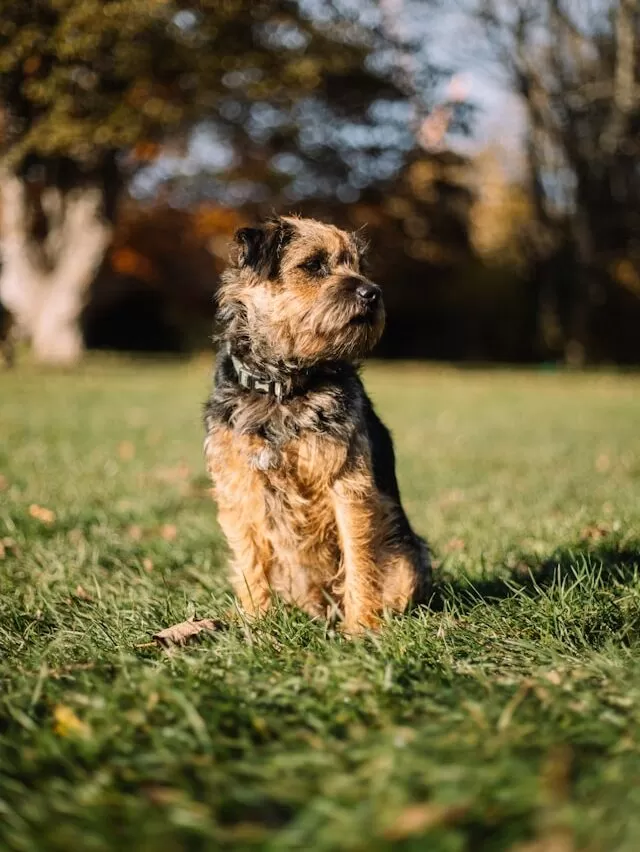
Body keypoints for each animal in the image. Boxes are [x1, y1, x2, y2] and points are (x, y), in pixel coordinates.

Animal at [205, 215, 430, 632]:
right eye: (313, 265)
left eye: (359, 266)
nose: (372, 293)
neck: (283, 388)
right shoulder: (239, 486)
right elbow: (249, 558)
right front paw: (257, 623)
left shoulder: (346, 480)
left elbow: (359, 556)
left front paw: (361, 628)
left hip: (408, 557)